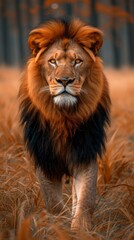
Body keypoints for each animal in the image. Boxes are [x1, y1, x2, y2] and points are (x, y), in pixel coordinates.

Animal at [19, 18, 111, 231]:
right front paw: (59, 228)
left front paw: (80, 230)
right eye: (52, 61)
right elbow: (53, 203)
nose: (65, 81)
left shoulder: (86, 155)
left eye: (77, 61)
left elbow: (86, 199)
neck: (64, 117)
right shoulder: (44, 158)